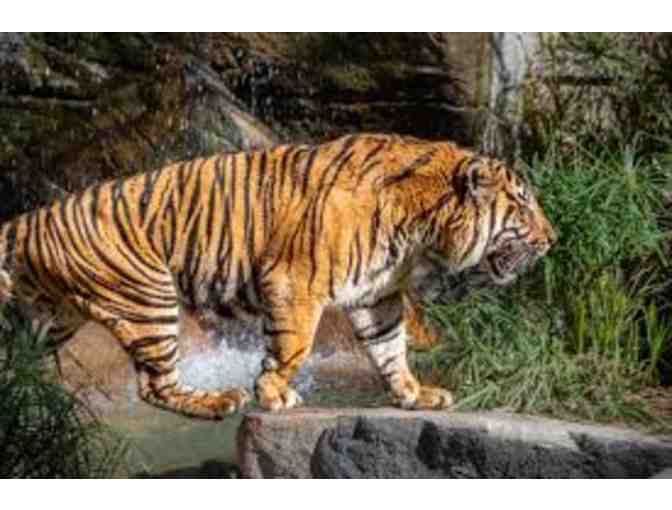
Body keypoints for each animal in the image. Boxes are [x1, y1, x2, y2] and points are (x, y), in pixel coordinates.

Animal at [0, 133, 556, 419]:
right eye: (524, 205)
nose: (551, 238)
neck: (420, 233)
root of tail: (34, 217)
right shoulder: (296, 283)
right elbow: (294, 346)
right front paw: (273, 392)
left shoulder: (376, 296)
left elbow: (390, 350)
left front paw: (414, 395)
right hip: (149, 298)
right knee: (155, 385)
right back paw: (220, 400)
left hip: (48, 320)